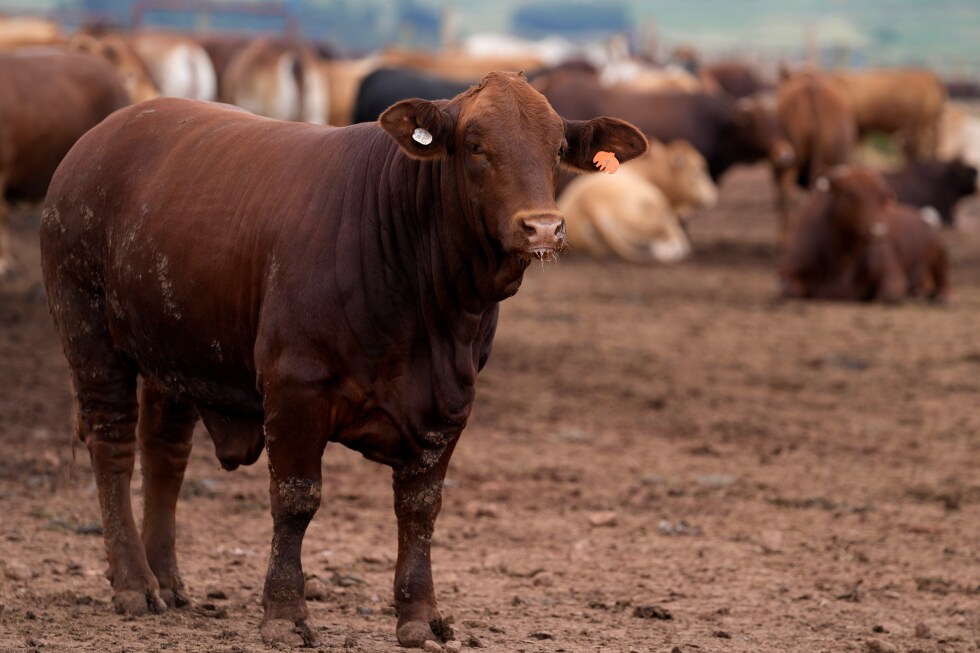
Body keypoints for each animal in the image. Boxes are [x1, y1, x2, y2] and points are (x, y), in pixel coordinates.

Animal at [40, 72, 646, 648]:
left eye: (557, 146)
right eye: (475, 145)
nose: (542, 227)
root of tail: (99, 137)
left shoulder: (449, 405)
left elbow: (420, 509)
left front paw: (420, 616)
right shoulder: (295, 388)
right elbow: (296, 500)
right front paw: (286, 615)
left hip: (175, 353)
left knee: (165, 452)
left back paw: (166, 579)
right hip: (89, 331)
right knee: (112, 446)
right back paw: (133, 583)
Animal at [779, 166, 948, 303]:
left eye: (882, 197)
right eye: (849, 194)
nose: (878, 230)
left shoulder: (892, 273)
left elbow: (889, 295)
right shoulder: (788, 269)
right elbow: (794, 291)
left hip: (940, 255)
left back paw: (940, 297)